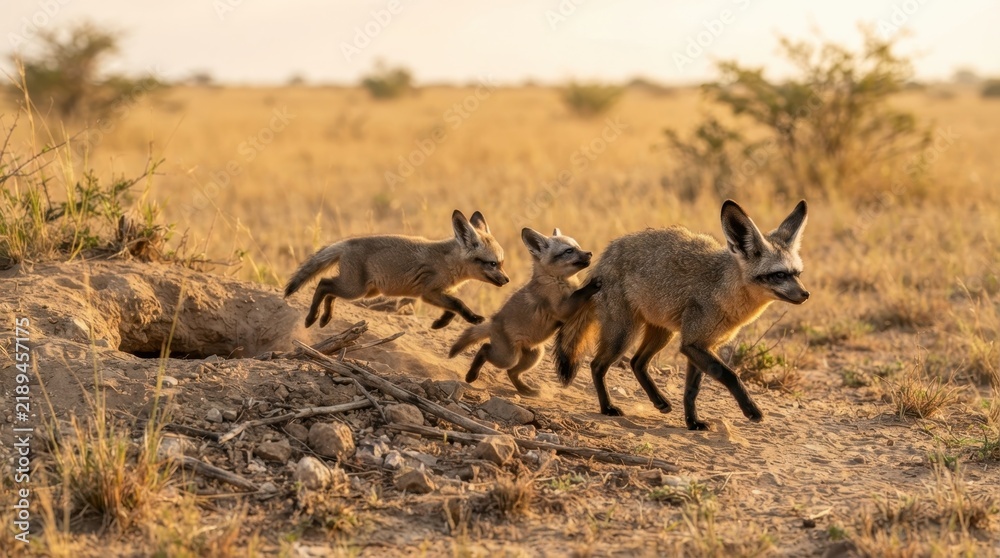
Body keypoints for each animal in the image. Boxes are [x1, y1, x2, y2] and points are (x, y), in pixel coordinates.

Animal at [284, 210, 510, 329]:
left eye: (502, 262)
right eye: (493, 263)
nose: (507, 280)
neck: (448, 261)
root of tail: (347, 242)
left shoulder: (438, 294)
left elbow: (452, 309)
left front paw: (440, 323)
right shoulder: (429, 293)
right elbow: (458, 304)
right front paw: (473, 318)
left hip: (365, 291)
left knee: (329, 292)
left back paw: (325, 318)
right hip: (355, 289)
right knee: (324, 284)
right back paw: (312, 317)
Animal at [449, 227, 601, 396]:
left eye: (578, 247)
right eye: (569, 251)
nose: (589, 253)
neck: (558, 281)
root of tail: (493, 323)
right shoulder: (561, 309)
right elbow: (579, 294)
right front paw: (593, 285)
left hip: (534, 355)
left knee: (512, 372)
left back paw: (525, 390)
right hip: (507, 357)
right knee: (485, 349)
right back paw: (471, 375)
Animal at [555, 200, 809, 430]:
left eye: (797, 274)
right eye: (779, 275)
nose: (806, 294)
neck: (722, 289)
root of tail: (604, 257)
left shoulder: (699, 345)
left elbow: (691, 391)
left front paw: (692, 422)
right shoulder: (693, 344)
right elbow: (730, 375)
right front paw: (751, 410)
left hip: (662, 333)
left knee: (637, 363)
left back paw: (659, 401)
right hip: (623, 335)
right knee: (597, 365)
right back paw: (607, 408)